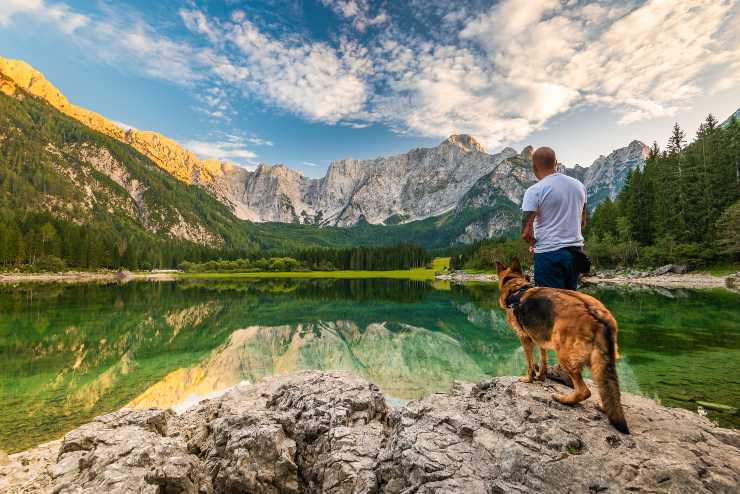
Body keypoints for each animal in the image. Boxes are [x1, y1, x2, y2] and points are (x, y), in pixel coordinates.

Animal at [494, 258, 628, 432]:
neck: (516, 288)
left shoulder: (525, 338)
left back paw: (563, 399)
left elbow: (530, 363)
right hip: (600, 361)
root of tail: (595, 314)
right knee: (607, 388)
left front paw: (529, 378)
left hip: (564, 354)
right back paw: (603, 406)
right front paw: (541, 376)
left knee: (584, 391)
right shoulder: (540, 337)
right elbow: (542, 359)